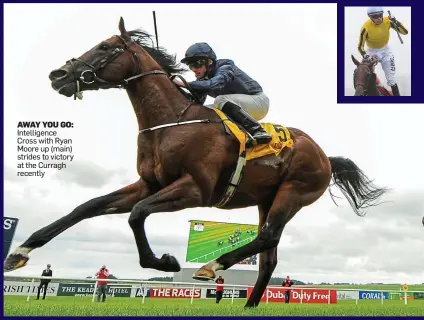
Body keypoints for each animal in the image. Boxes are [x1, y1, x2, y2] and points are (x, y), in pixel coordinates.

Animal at [2, 18, 388, 308]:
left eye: (106, 47)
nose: (57, 75)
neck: (171, 122)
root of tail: (325, 155)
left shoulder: (195, 189)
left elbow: (137, 214)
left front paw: (165, 261)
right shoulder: (149, 183)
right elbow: (87, 206)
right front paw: (19, 252)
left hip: (293, 193)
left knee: (266, 237)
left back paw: (211, 266)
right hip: (267, 199)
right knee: (269, 256)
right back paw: (248, 305)